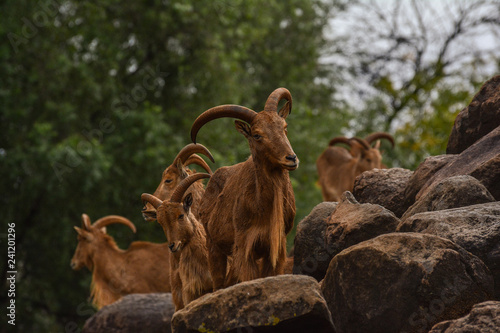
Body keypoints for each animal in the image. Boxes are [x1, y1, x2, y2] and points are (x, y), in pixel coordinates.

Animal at [188, 87, 296, 290]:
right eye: (257, 135)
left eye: (284, 127)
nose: (291, 158)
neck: (265, 207)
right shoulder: (245, 245)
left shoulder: (276, 247)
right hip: (214, 247)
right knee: (219, 282)